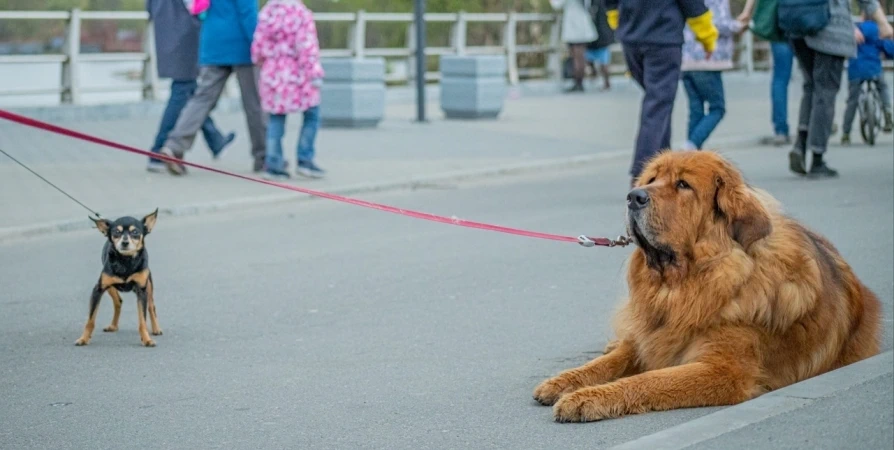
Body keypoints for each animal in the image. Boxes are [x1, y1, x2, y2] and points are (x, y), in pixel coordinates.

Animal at [75, 210, 163, 348]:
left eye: (135, 232)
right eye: (116, 232)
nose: (125, 242)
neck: (125, 261)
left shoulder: (141, 291)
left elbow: (142, 320)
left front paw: (146, 339)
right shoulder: (98, 290)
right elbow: (90, 320)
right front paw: (83, 338)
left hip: (148, 286)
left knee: (151, 306)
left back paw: (156, 329)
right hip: (110, 286)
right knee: (118, 302)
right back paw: (113, 326)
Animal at [536, 150, 884, 422]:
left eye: (683, 185)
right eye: (650, 179)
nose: (634, 197)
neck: (684, 285)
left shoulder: (723, 369)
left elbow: (651, 379)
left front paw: (586, 398)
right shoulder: (650, 337)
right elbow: (608, 360)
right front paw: (563, 382)